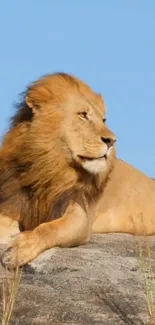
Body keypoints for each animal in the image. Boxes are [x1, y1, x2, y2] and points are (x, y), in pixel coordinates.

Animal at [0, 72, 116, 268]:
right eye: (83, 115)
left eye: (103, 120)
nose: (112, 141)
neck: (50, 165)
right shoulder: (15, 201)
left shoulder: (79, 214)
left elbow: (49, 229)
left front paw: (19, 249)